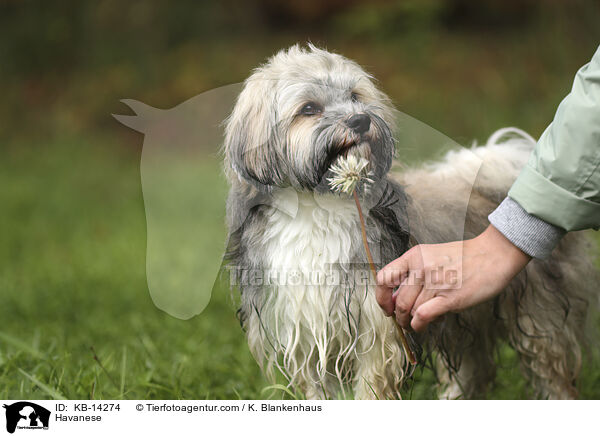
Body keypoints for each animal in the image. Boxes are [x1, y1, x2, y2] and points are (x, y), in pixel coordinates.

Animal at [223, 44, 596, 398]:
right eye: (309, 109)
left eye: (355, 96)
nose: (360, 121)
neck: (317, 208)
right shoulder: (305, 331)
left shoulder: (379, 323)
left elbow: (372, 388)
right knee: (475, 370)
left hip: (539, 315)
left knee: (552, 375)